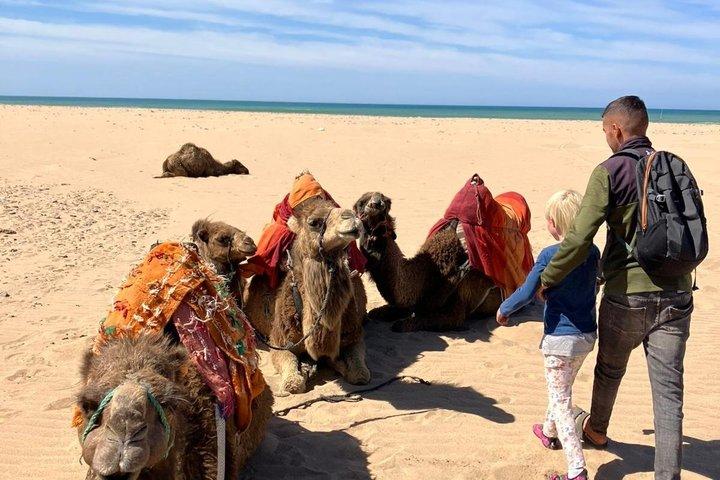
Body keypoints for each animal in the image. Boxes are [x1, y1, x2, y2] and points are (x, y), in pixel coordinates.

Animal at [245, 196, 370, 394]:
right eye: (314, 222)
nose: (352, 218)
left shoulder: (354, 334)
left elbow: (359, 373)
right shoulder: (279, 340)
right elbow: (292, 375)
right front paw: (298, 374)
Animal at [354, 191, 503, 332]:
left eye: (387, 202)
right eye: (359, 204)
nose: (376, 203)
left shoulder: (456, 306)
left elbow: (407, 323)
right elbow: (376, 312)